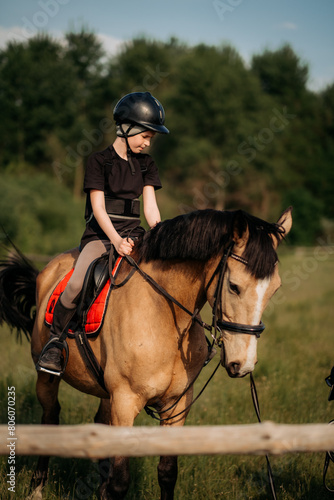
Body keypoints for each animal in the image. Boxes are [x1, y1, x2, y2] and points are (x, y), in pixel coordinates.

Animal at [0, 207, 292, 500]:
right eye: (233, 286)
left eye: (275, 289)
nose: (243, 364)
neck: (164, 316)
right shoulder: (125, 402)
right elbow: (120, 482)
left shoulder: (176, 406)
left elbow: (167, 473)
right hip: (47, 378)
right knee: (50, 418)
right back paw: (37, 488)